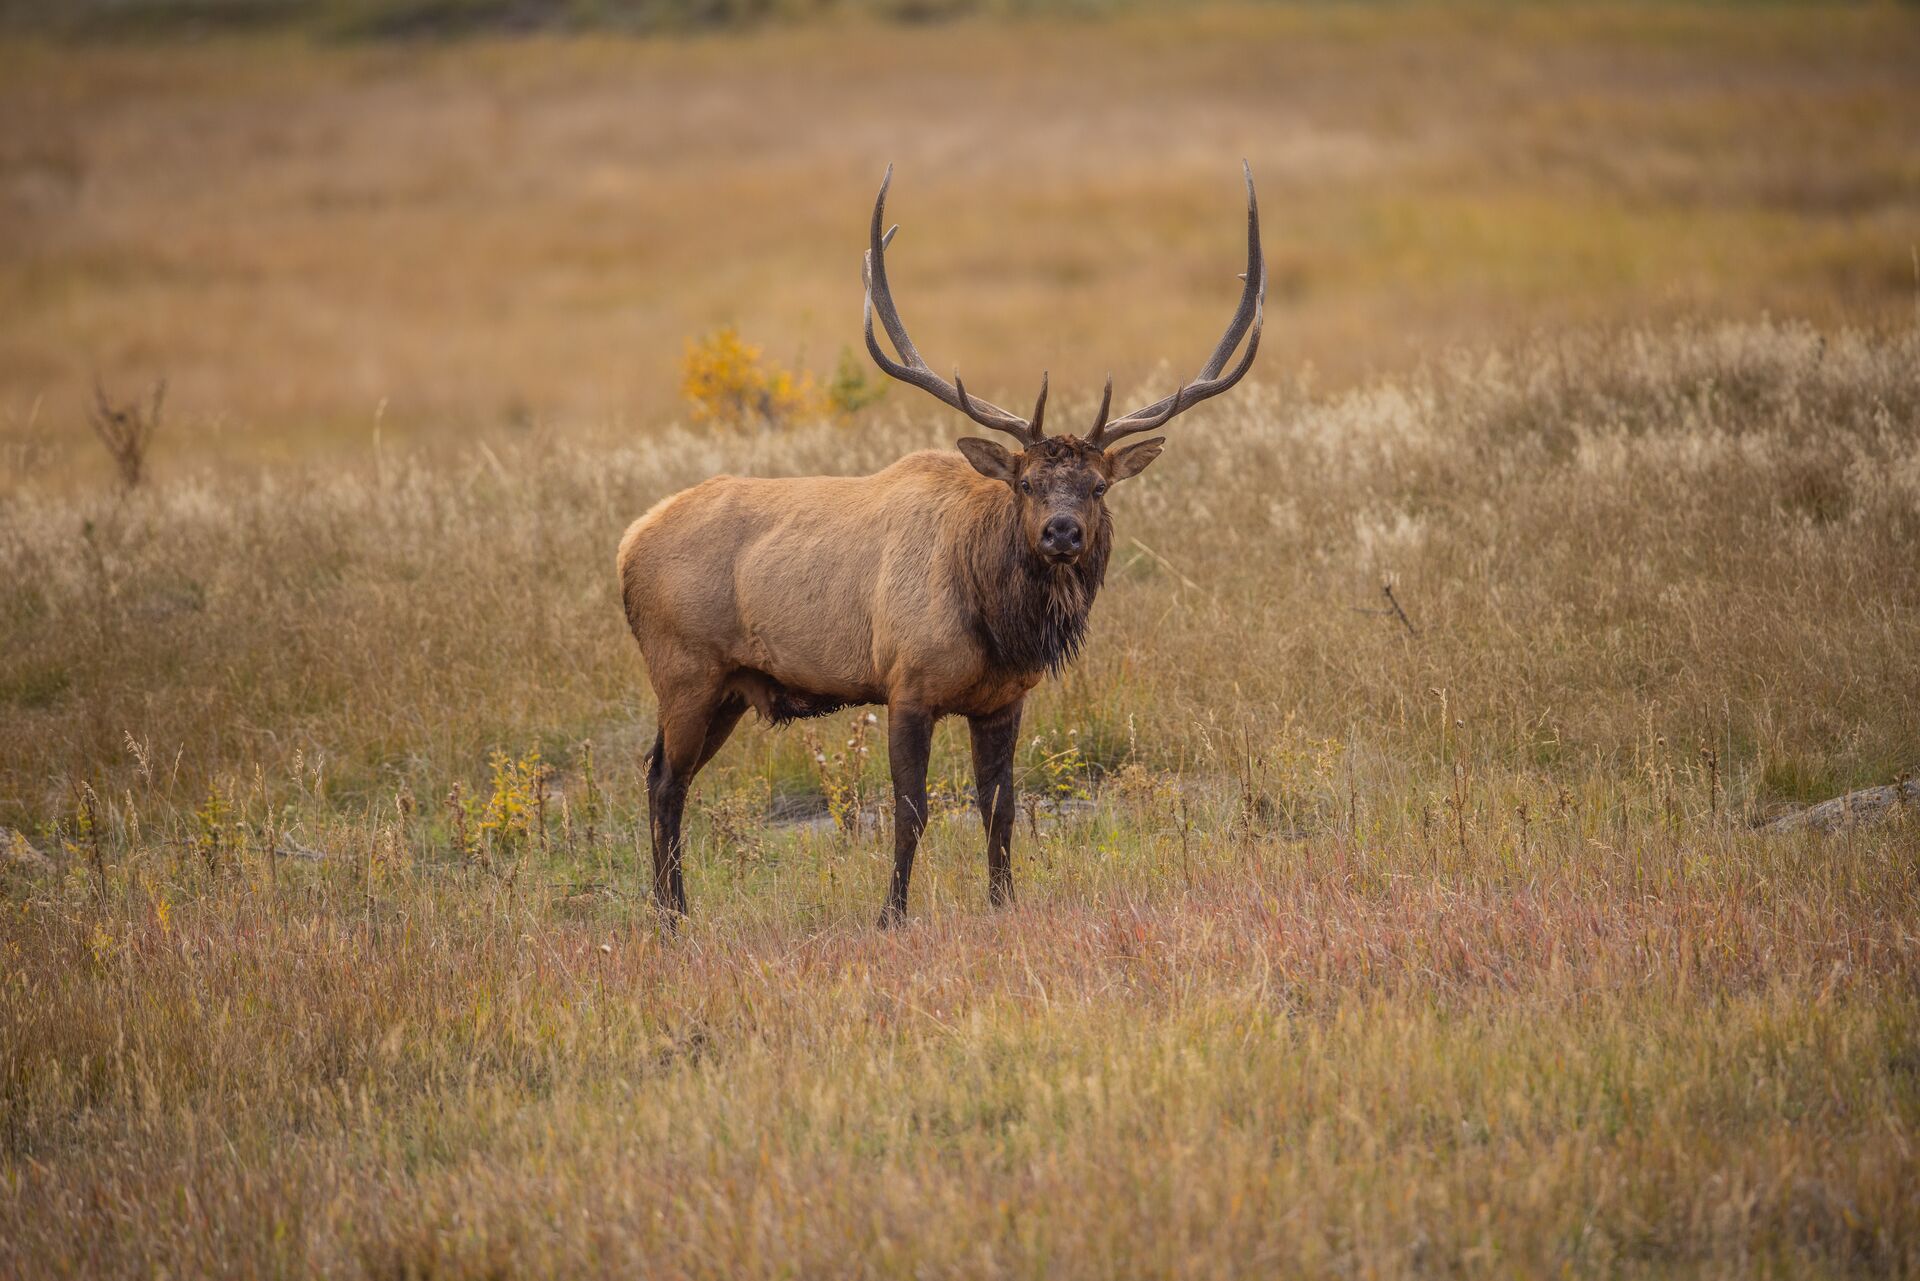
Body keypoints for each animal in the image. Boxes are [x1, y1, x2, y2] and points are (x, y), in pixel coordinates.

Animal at [618, 162, 1264, 925]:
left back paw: (672, 911)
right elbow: (911, 811)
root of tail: (629, 542)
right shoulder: (906, 682)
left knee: (664, 775)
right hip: (685, 668)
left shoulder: (1003, 700)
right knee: (664, 779)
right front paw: (891, 914)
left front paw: (1003, 902)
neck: (996, 620)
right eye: (1025, 482)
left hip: (728, 689)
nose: (1063, 531)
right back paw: (672, 917)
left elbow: (1000, 810)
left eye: (1099, 486)